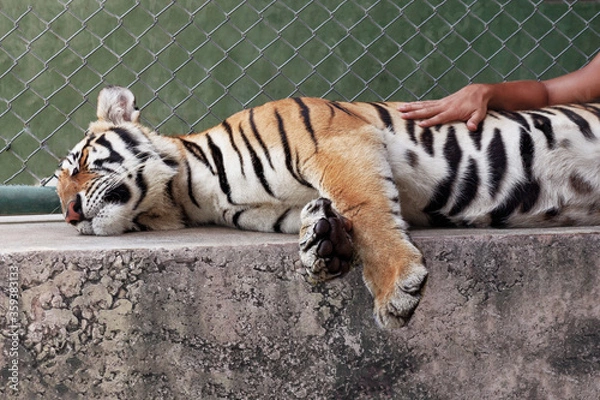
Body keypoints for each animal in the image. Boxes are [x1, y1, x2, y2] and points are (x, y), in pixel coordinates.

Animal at [56, 84, 600, 328]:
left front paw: (395, 290)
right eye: (57, 193)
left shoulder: (336, 144)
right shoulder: (273, 209)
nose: (72, 213)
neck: (191, 193)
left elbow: (367, 211)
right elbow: (322, 218)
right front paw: (323, 247)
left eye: (80, 162)